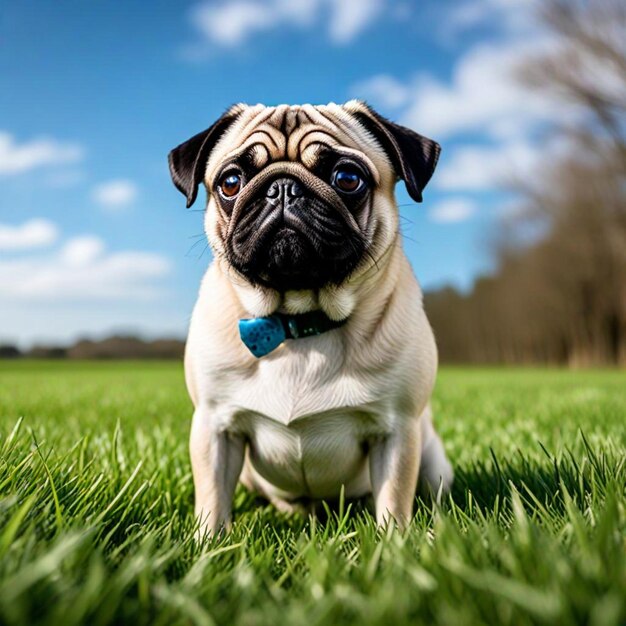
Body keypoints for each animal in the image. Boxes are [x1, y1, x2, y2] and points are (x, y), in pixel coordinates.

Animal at [168, 100, 450, 532]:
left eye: (348, 178)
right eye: (230, 182)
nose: (283, 187)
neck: (300, 323)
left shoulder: (398, 430)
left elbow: (393, 502)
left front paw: (396, 542)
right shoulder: (214, 427)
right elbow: (213, 500)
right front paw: (209, 543)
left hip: (434, 460)